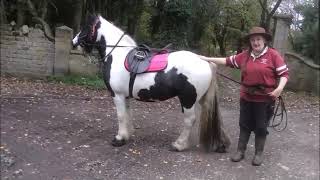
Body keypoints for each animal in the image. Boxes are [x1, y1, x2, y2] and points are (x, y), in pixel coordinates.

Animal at [72, 14, 230, 152]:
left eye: (86, 27)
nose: (73, 43)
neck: (116, 55)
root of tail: (204, 60)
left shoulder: (117, 95)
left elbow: (121, 116)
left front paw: (119, 139)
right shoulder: (125, 96)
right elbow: (128, 114)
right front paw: (127, 135)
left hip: (187, 100)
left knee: (190, 120)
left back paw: (178, 145)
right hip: (201, 100)